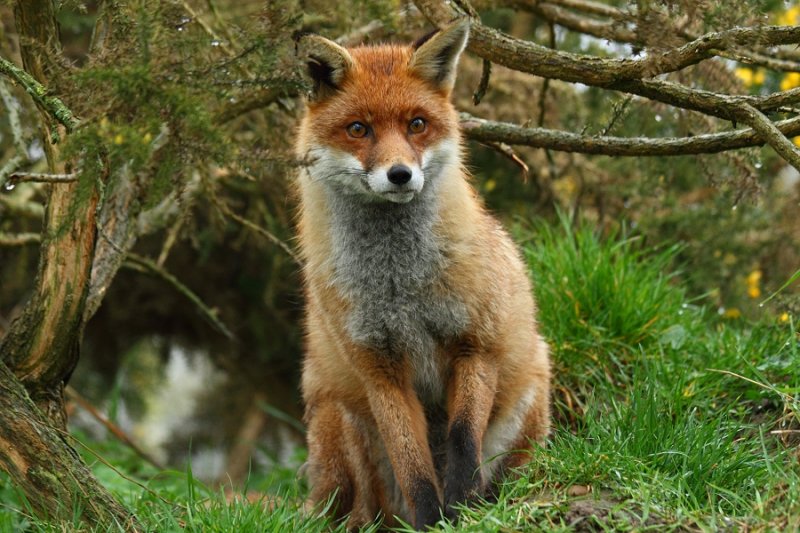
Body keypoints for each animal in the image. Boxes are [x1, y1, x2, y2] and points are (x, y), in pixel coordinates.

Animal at [294, 19, 552, 528]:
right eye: (358, 129)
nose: (400, 174)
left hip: (531, 392)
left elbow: (462, 439)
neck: (401, 284)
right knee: (358, 512)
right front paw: (433, 520)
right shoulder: (380, 369)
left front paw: (462, 508)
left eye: (417, 124)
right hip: (337, 421)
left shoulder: (475, 346)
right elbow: (411, 462)